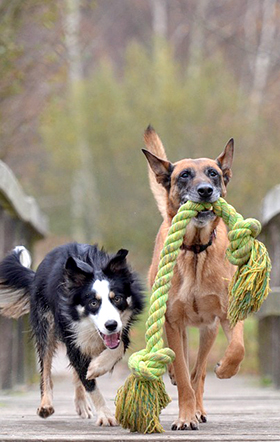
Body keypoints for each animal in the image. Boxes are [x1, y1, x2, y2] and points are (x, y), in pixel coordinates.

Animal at [0, 243, 144, 426]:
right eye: (93, 303)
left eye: (117, 298)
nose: (111, 325)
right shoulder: (72, 335)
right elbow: (89, 383)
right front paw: (105, 415)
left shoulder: (122, 329)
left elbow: (117, 347)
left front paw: (97, 367)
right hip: (45, 324)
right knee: (46, 366)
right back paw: (46, 405)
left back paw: (81, 402)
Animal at [143, 127, 244, 432]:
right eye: (185, 175)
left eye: (213, 173)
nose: (205, 191)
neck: (197, 250)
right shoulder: (173, 321)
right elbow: (183, 373)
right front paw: (185, 417)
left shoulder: (227, 314)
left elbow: (237, 348)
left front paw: (225, 369)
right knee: (185, 368)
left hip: (208, 330)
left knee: (199, 372)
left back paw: (201, 405)